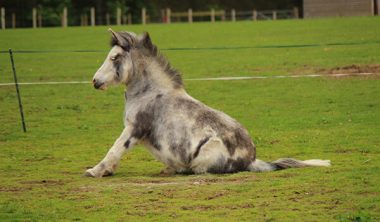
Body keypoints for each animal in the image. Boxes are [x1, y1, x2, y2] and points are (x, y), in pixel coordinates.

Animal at [85, 29, 330, 178]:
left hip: (203, 160)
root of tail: (251, 160)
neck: (150, 93)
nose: (95, 81)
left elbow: (115, 149)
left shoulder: (134, 129)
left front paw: (95, 171)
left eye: (115, 57)